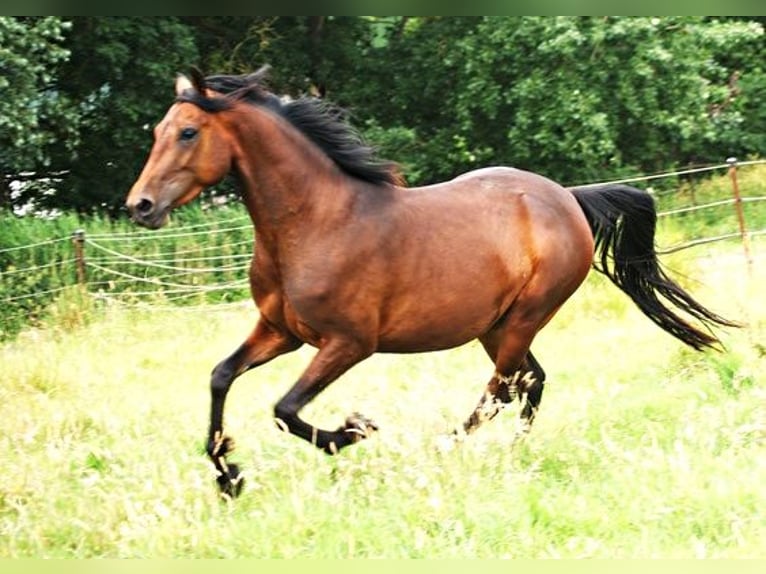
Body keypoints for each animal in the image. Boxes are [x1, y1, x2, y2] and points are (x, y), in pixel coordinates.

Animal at [126, 68, 736, 500]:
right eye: (156, 132)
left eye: (188, 132)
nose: (141, 206)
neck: (317, 221)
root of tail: (566, 197)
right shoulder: (280, 331)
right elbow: (221, 377)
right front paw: (229, 477)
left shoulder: (348, 343)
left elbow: (286, 409)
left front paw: (354, 431)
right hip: (496, 326)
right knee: (529, 382)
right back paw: (512, 453)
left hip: (523, 319)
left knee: (502, 390)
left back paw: (443, 449)